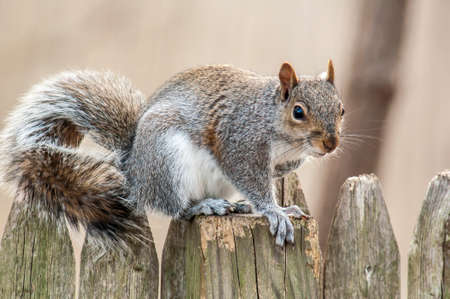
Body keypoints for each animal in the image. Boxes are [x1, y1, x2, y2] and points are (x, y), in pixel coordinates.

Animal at [0, 60, 344, 248]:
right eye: (298, 112)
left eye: (341, 109)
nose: (331, 144)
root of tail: (135, 171)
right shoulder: (239, 142)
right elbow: (251, 179)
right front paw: (276, 213)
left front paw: (282, 203)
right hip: (169, 162)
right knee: (176, 207)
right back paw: (204, 206)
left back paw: (238, 205)